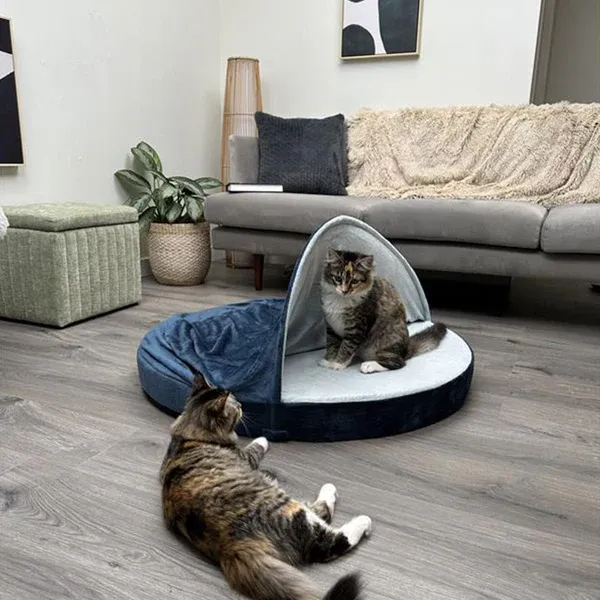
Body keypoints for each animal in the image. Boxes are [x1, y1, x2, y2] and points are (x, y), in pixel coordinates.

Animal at [162, 376, 372, 600]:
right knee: (328, 534)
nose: (242, 404)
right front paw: (264, 438)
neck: (190, 434)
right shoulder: (246, 457)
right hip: (292, 509)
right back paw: (356, 514)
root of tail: (231, 546)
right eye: (236, 405)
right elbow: (255, 447)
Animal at [318, 246, 446, 372]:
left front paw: (338, 364)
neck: (340, 300)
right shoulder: (331, 327)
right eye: (338, 278)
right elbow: (332, 345)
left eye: (354, 281)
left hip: (385, 343)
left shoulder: (357, 328)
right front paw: (329, 360)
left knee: (398, 363)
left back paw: (369, 365)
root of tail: (406, 348)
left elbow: (346, 347)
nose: (344, 291)